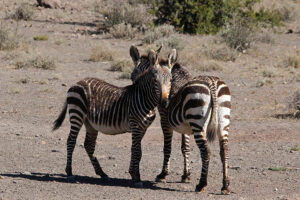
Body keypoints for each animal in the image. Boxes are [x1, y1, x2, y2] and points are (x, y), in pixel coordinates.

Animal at [52, 46, 175, 187]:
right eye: (155, 81)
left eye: (171, 80)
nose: (164, 102)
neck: (145, 99)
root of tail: (78, 82)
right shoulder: (135, 126)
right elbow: (137, 151)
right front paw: (137, 179)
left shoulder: (142, 128)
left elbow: (136, 151)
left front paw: (133, 174)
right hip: (77, 114)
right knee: (71, 141)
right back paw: (70, 172)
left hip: (90, 123)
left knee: (89, 145)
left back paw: (102, 173)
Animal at [130, 51, 231, 194]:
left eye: (133, 74)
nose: (133, 90)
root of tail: (212, 82)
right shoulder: (186, 126)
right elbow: (185, 148)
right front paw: (186, 175)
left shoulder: (165, 120)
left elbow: (167, 148)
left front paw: (163, 175)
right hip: (223, 121)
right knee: (224, 151)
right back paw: (225, 186)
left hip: (198, 122)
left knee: (206, 151)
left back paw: (201, 184)